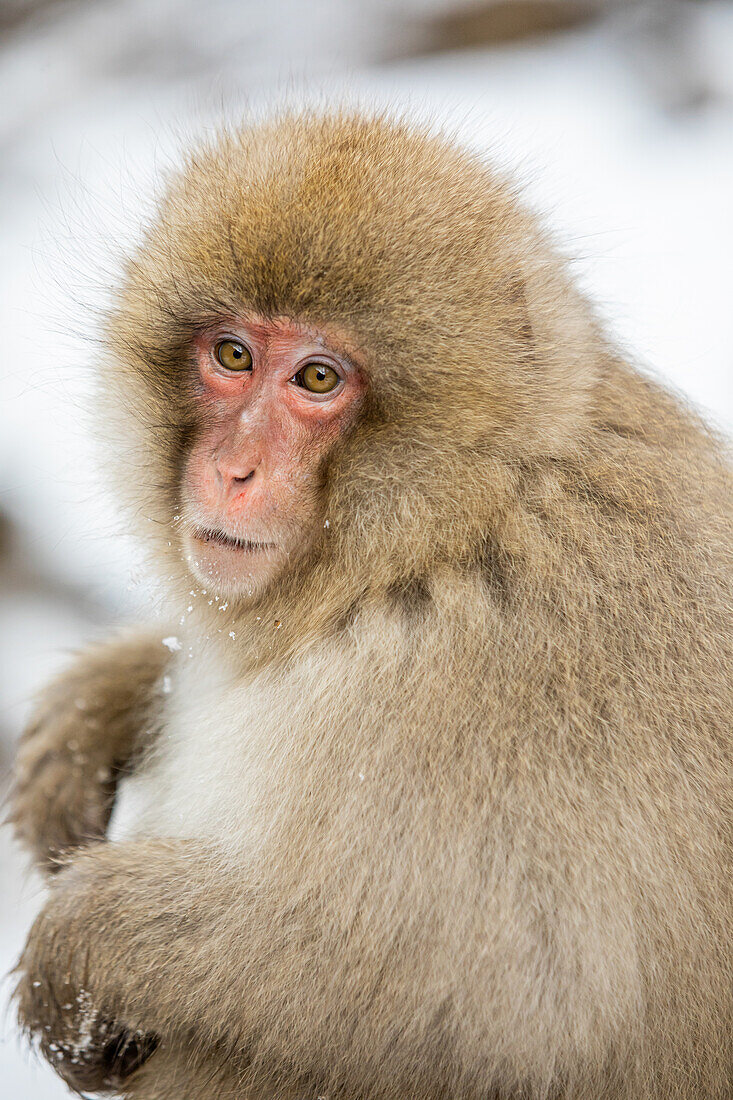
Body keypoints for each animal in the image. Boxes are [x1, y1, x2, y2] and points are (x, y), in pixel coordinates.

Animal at [8, 113, 726, 1100]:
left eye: (318, 379)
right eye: (232, 355)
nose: (234, 471)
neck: (450, 527)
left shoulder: (495, 676)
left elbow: (510, 996)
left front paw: (85, 941)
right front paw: (101, 704)